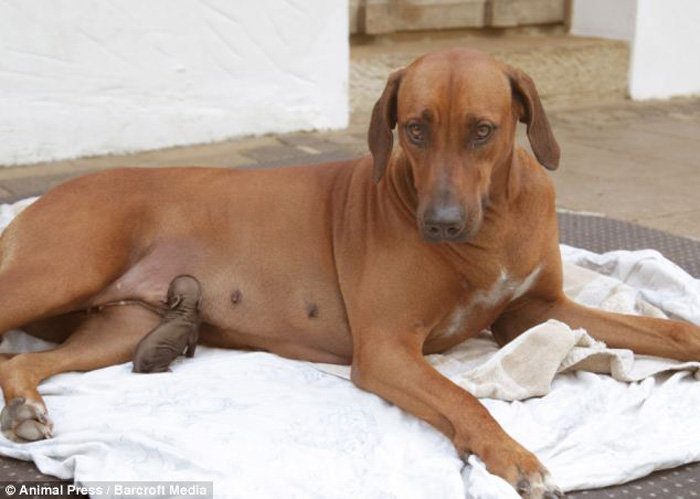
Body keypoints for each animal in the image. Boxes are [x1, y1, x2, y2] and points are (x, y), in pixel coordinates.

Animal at [1, 47, 700, 499]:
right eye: (414, 129)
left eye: (482, 131)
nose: (441, 223)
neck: (492, 223)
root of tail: (42, 199)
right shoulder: (387, 349)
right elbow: (463, 399)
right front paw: (516, 458)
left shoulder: (535, 310)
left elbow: (667, 331)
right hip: (62, 269)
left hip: (123, 326)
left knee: (21, 360)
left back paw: (26, 404)